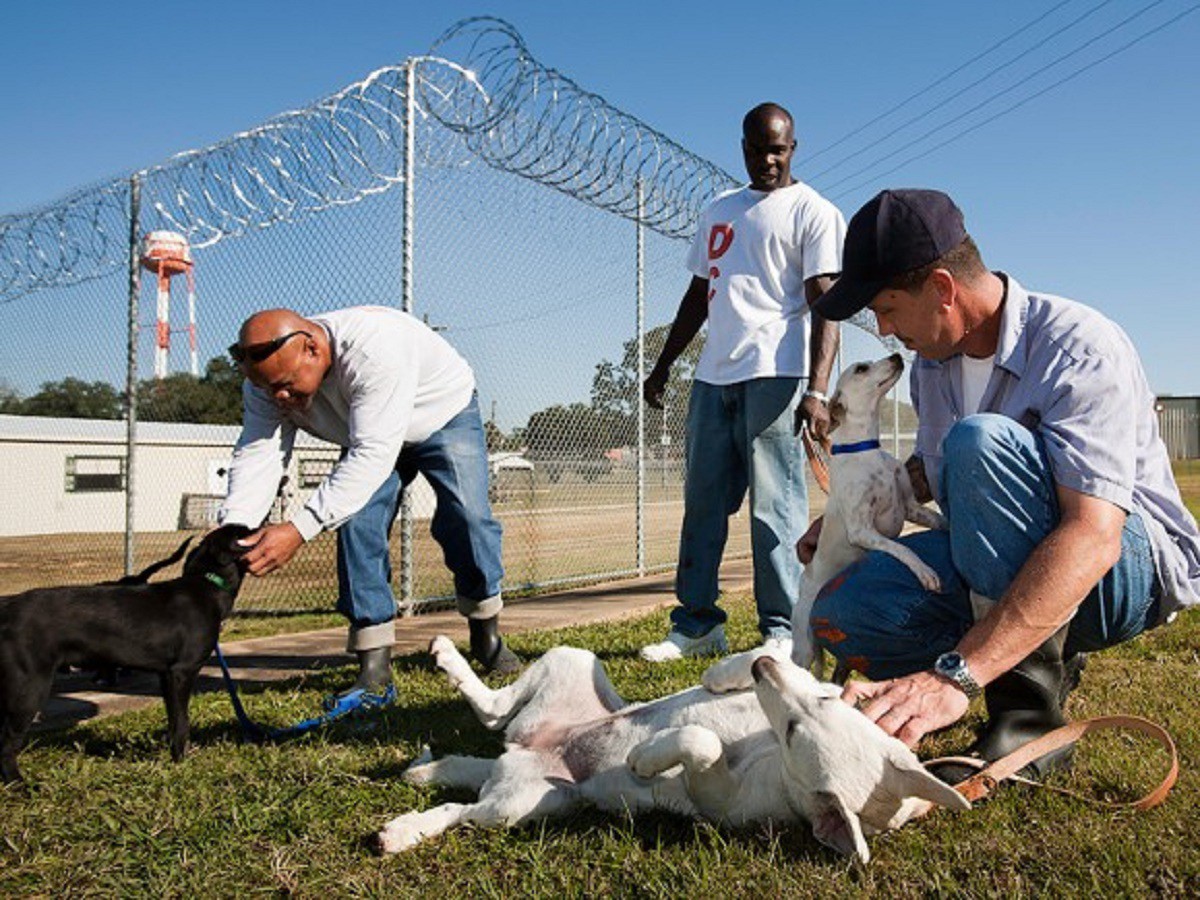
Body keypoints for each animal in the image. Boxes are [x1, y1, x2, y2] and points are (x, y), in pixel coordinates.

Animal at [0, 525, 250, 787]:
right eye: (241, 532)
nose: (258, 527)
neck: (208, 587)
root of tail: (8, 607)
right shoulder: (183, 671)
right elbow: (182, 721)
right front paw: (182, 761)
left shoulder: (166, 675)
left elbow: (173, 721)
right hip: (29, 688)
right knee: (7, 742)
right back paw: (17, 783)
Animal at [369, 633, 969, 868]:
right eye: (824, 701)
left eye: (795, 733)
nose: (760, 672)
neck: (767, 753)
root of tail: (530, 752)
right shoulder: (794, 679)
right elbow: (773, 662)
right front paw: (727, 671)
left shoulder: (714, 798)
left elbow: (700, 743)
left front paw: (644, 759)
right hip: (571, 659)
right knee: (493, 712)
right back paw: (446, 667)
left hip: (522, 805)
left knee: (462, 807)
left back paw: (401, 828)